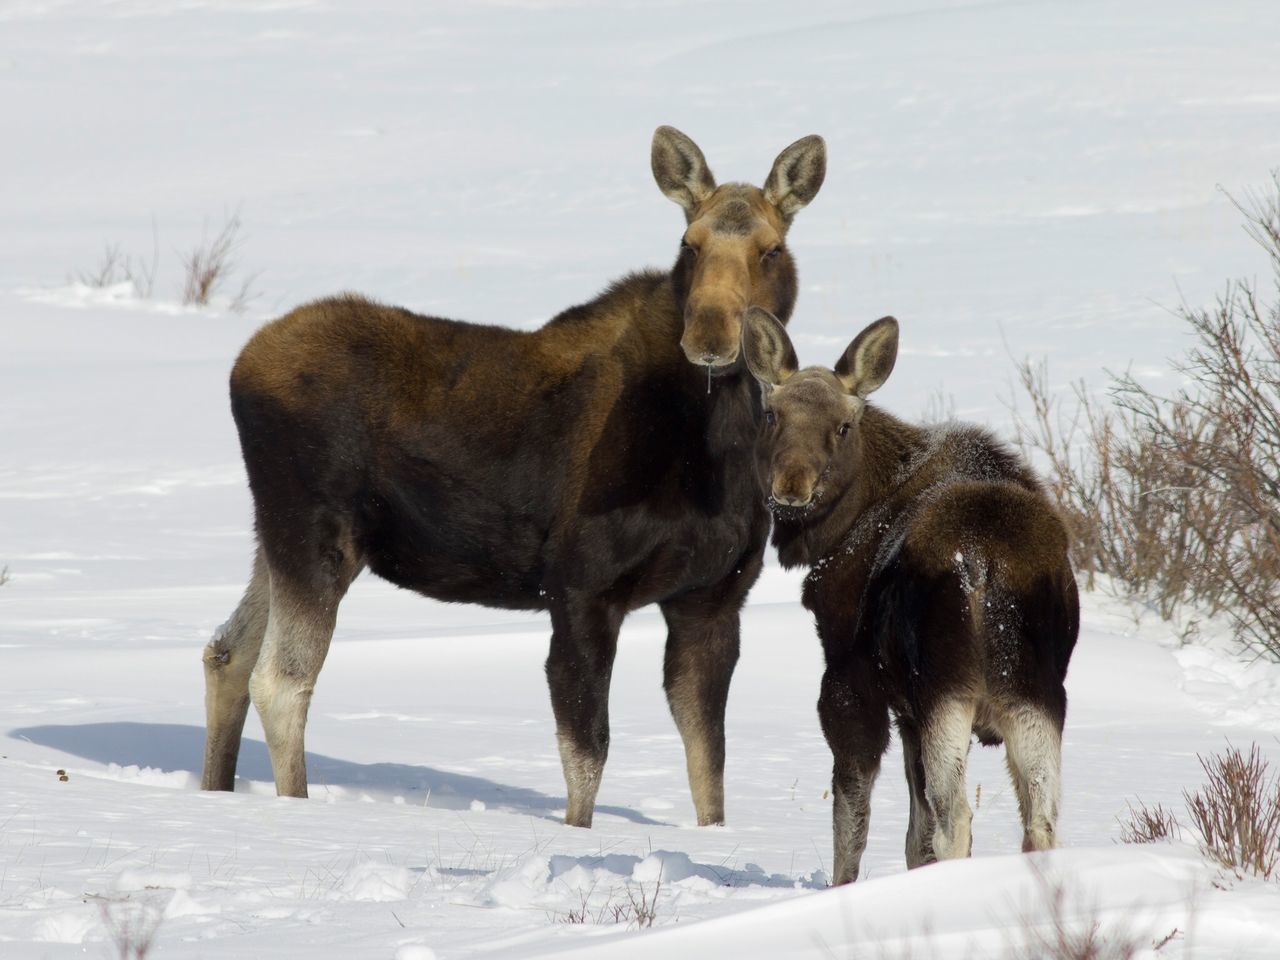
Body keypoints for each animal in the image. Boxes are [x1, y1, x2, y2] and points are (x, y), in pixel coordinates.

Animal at [202, 128, 829, 829]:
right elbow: (587, 758)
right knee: (281, 680)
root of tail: (240, 368)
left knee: (227, 653)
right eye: (689, 244)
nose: (712, 334)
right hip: (316, 532)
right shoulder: (581, 589)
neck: (713, 446)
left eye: (770, 248)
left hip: (277, 535)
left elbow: (709, 771)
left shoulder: (711, 600)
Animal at [742, 308, 1080, 885]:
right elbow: (910, 836)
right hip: (1034, 694)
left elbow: (853, 825)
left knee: (955, 821)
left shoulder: (851, 686)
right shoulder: (909, 714)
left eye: (843, 427)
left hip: (946, 692)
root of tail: (985, 565)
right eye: (771, 416)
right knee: (1040, 822)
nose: (792, 488)